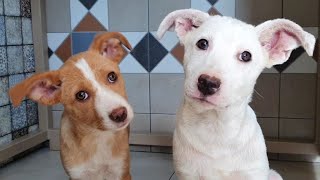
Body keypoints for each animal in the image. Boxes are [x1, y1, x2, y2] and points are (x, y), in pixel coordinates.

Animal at [9, 31, 133, 179]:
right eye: (81, 95)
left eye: (112, 76)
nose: (120, 114)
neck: (96, 137)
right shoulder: (77, 174)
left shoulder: (121, 171)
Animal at [156, 8, 316, 180]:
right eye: (202, 43)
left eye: (246, 56)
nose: (208, 83)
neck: (216, 126)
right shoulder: (187, 173)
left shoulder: (253, 173)